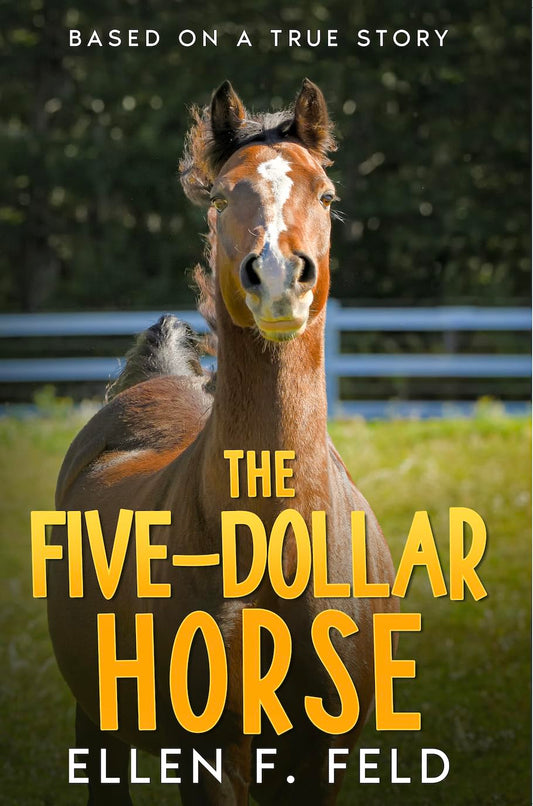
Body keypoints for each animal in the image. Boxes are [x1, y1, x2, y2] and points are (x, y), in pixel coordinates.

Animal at [48, 79, 398, 806]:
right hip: (97, 724)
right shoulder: (209, 754)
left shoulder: (322, 756)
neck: (278, 549)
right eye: (219, 197)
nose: (278, 276)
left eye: (325, 194)